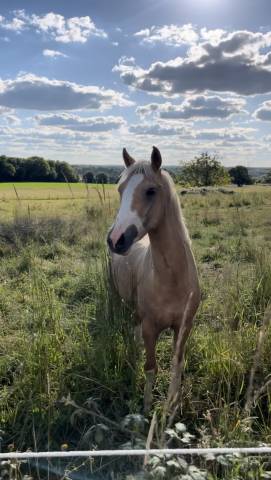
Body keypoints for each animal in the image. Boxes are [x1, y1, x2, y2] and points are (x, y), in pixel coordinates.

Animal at [107, 147, 201, 412]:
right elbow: (151, 367)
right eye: (120, 189)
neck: (172, 281)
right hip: (116, 297)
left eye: (151, 191)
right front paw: (147, 406)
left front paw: (171, 404)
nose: (116, 239)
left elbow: (177, 364)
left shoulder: (184, 327)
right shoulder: (151, 328)